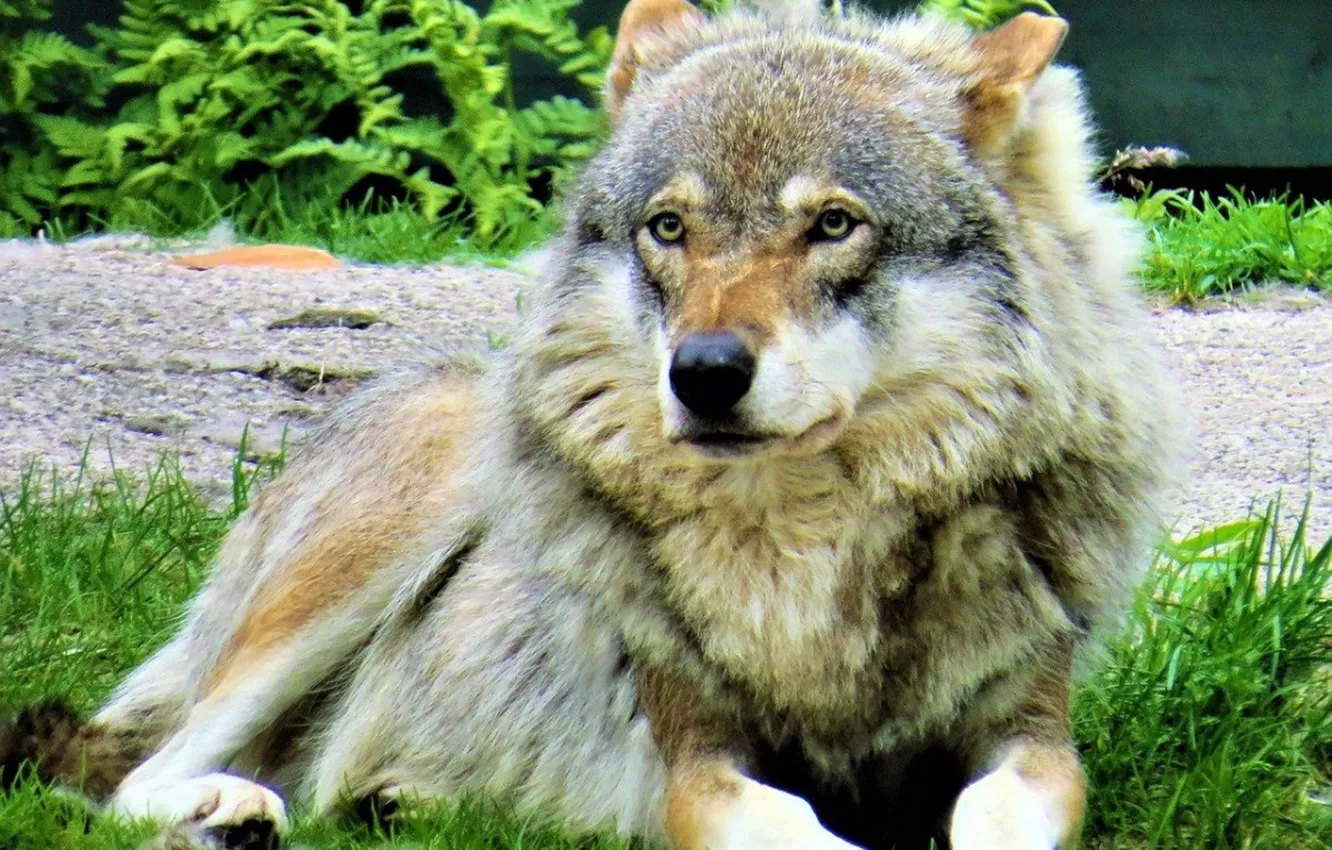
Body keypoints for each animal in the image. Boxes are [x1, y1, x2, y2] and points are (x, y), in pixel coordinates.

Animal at [0, 1, 1181, 848]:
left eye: (834, 225)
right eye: (669, 227)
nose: (704, 374)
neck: (801, 553)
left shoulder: (1033, 741)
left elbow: (994, 813)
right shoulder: (697, 767)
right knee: (134, 778)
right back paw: (227, 811)